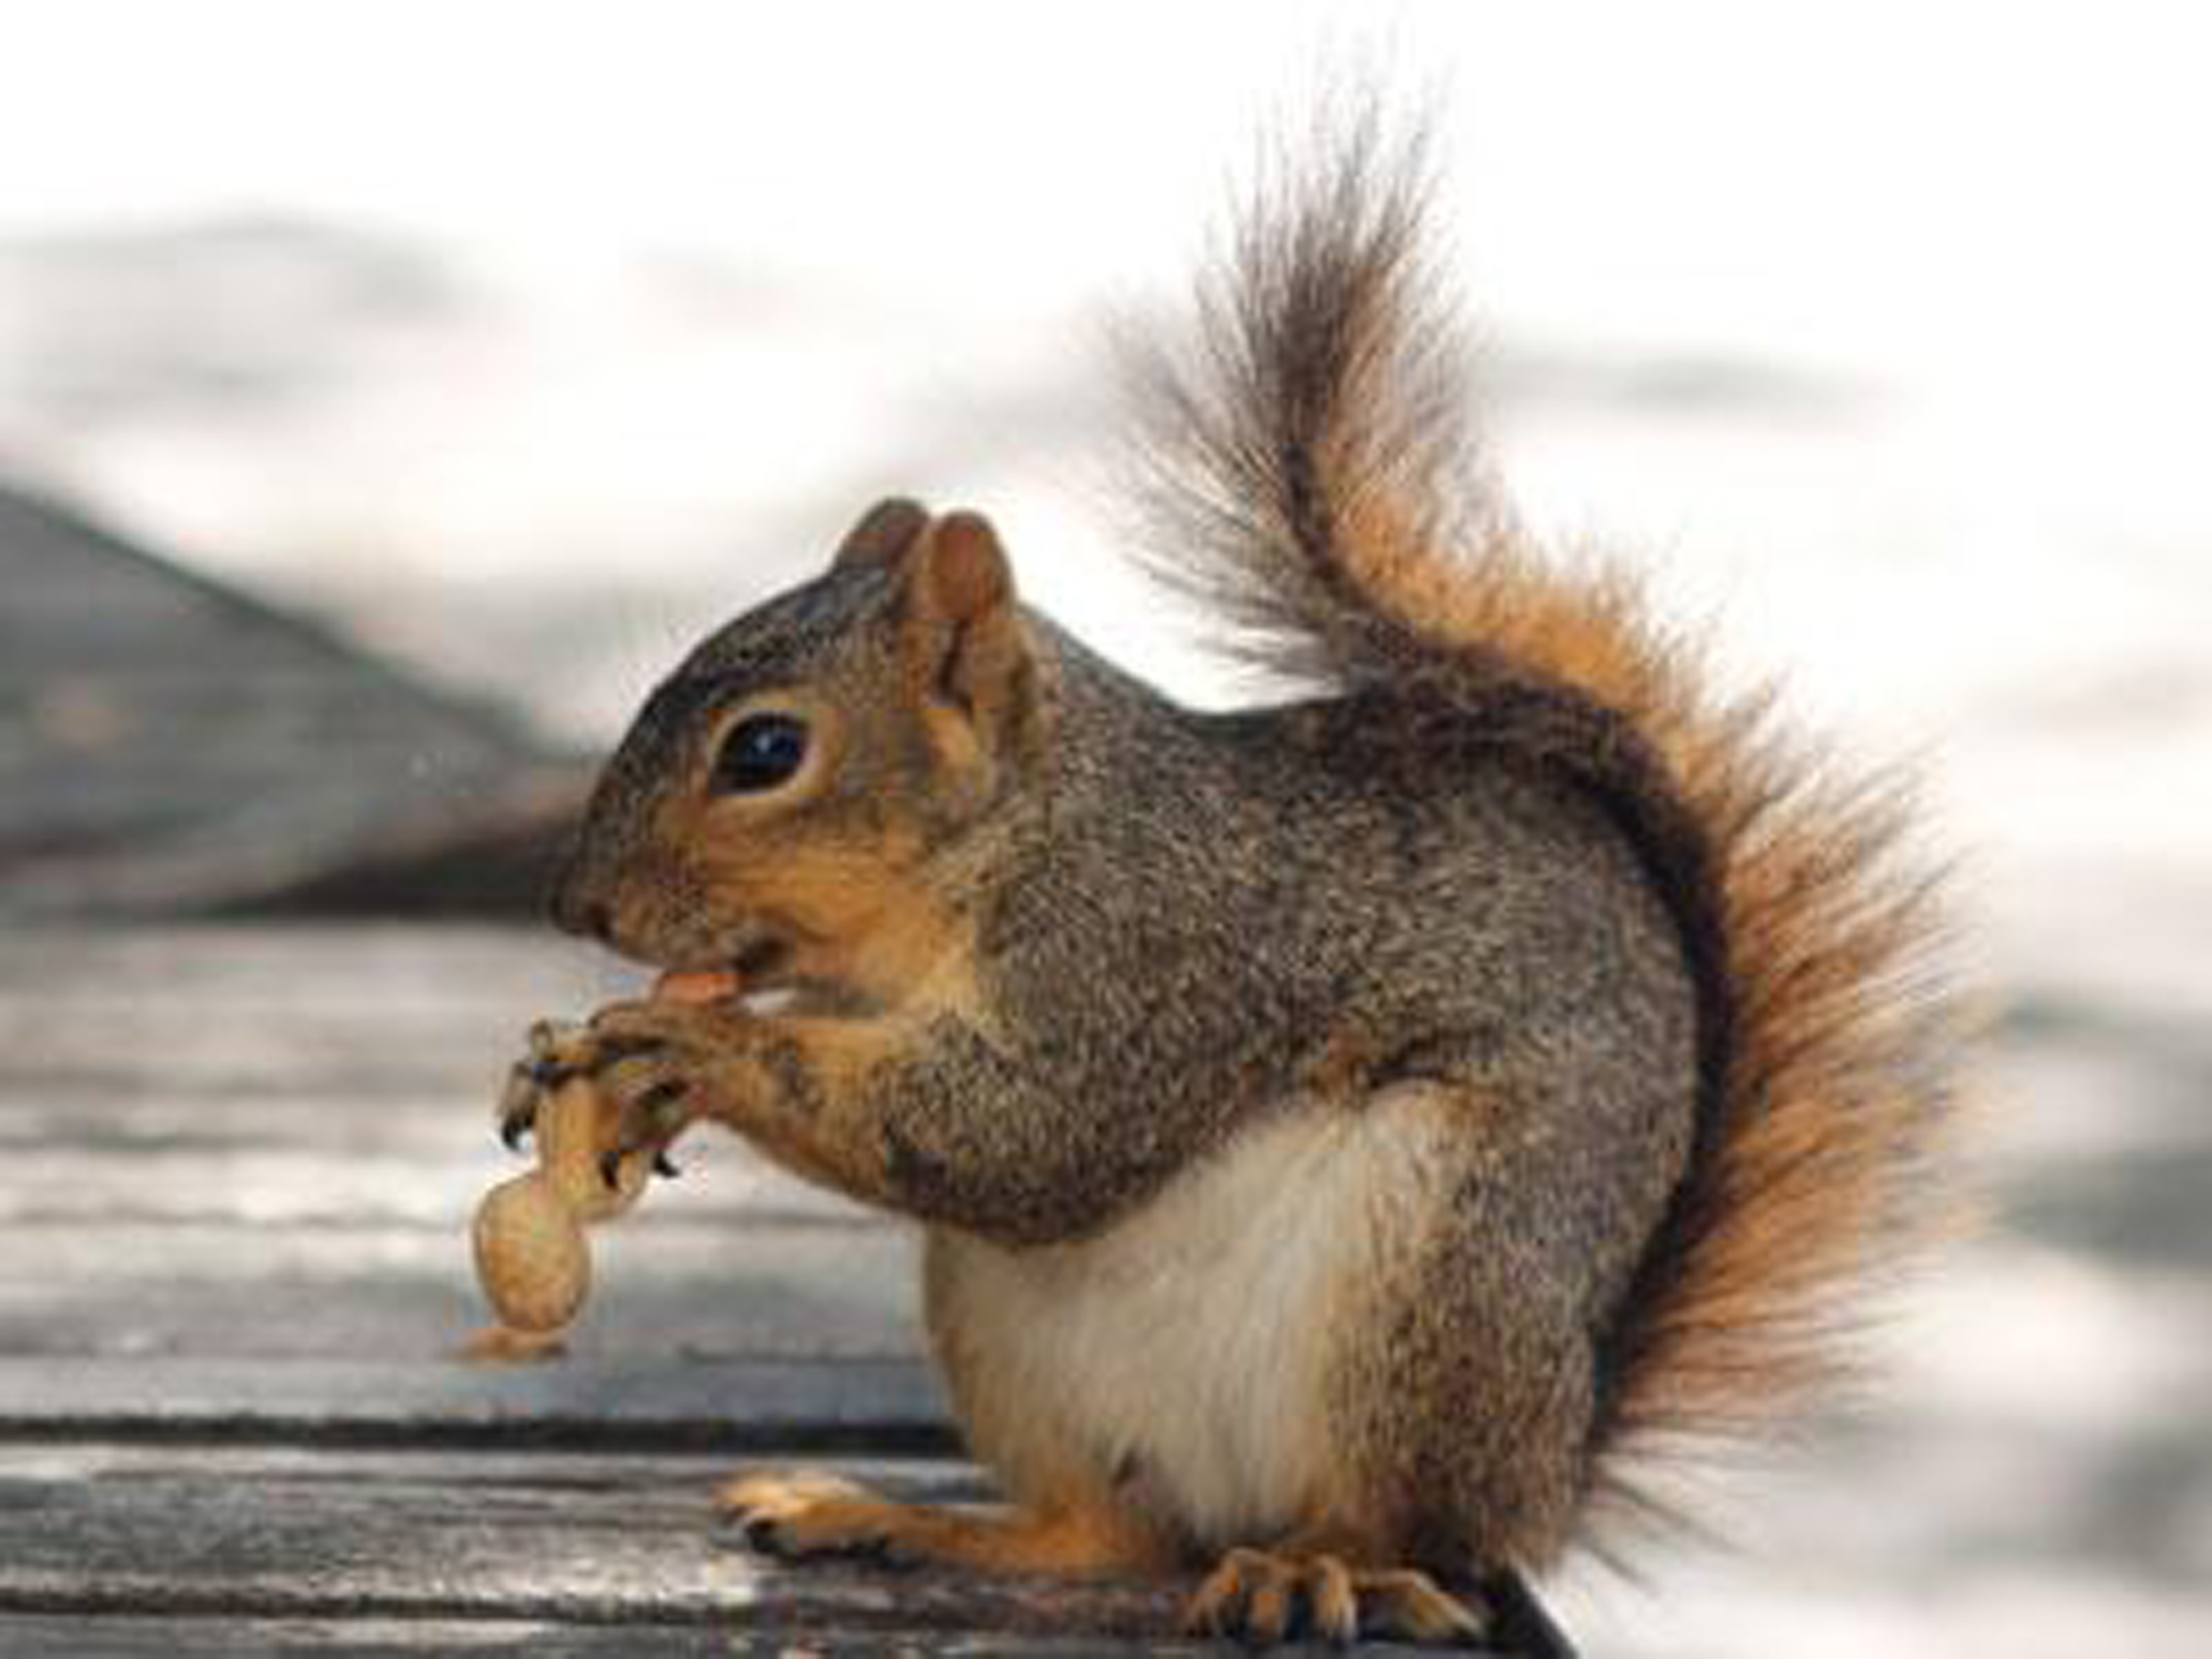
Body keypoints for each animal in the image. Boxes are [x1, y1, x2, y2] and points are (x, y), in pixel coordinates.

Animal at [508, 113, 1964, 1655]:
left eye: (766, 750)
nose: (579, 912)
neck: (1013, 835)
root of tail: (1549, 1474)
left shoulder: (1155, 949)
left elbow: (1019, 1132)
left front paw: (690, 1043)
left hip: (1439, 1281)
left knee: (1412, 1535)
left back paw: (1321, 1567)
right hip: (1019, 1338)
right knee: (1106, 1537)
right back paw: (890, 1515)